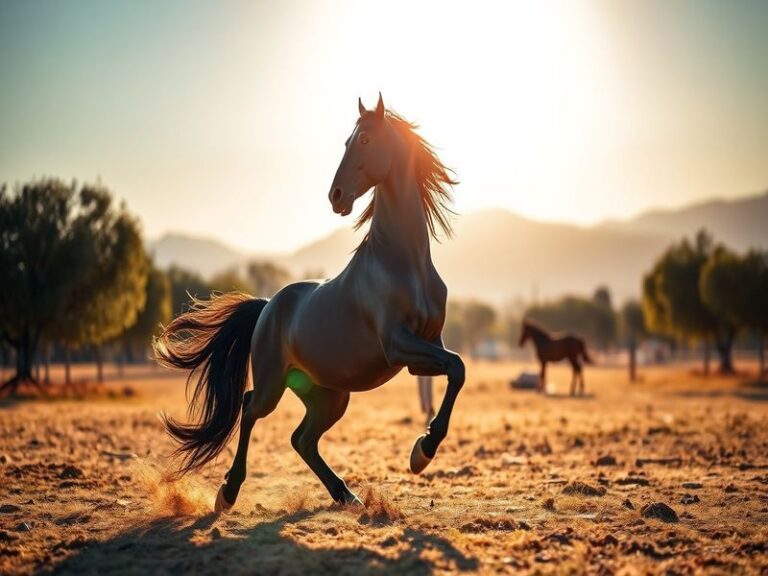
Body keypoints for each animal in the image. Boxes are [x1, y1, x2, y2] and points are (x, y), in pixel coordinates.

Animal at [153, 94, 466, 513]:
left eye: (364, 139)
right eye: (347, 141)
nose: (336, 196)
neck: (403, 265)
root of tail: (268, 305)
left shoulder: (424, 349)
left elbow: (456, 370)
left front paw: (421, 452)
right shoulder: (397, 345)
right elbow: (457, 366)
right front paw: (423, 451)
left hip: (330, 396)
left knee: (301, 439)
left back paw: (346, 495)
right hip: (274, 384)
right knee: (249, 409)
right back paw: (228, 492)